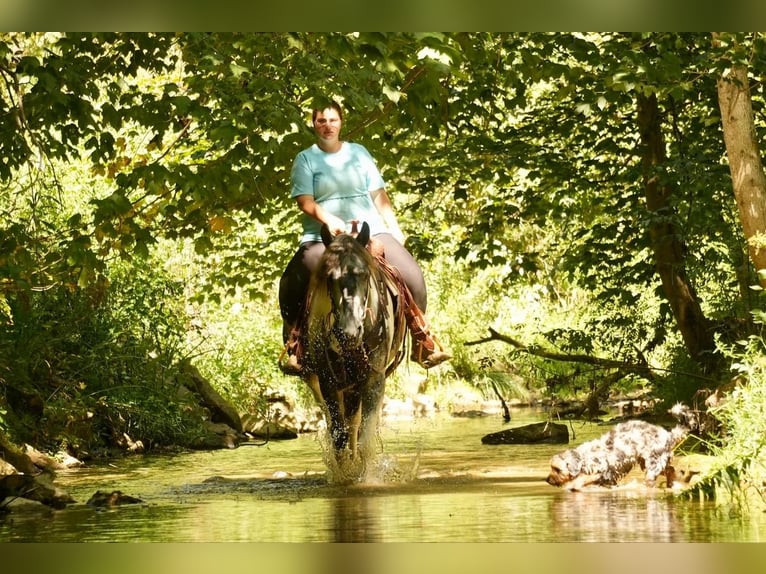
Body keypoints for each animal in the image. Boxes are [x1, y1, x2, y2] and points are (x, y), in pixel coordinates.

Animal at [302, 222, 412, 482]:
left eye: (363, 274)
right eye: (329, 277)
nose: (349, 332)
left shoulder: (374, 379)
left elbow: (364, 437)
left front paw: (365, 476)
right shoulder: (328, 381)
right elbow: (339, 436)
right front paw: (344, 474)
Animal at [544, 404, 696, 490]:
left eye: (557, 469)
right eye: (551, 468)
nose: (547, 480)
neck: (584, 459)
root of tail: (669, 435)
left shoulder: (605, 472)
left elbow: (584, 480)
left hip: (653, 464)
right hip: (648, 462)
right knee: (671, 469)